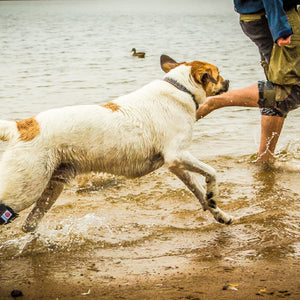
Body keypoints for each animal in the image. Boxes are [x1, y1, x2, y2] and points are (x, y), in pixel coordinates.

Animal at [0, 54, 230, 232]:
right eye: (218, 74)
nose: (228, 81)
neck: (181, 88)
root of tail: (20, 126)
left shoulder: (176, 165)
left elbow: (198, 190)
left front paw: (219, 213)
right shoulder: (177, 155)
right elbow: (212, 172)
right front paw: (213, 195)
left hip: (51, 187)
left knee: (29, 224)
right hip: (25, 189)